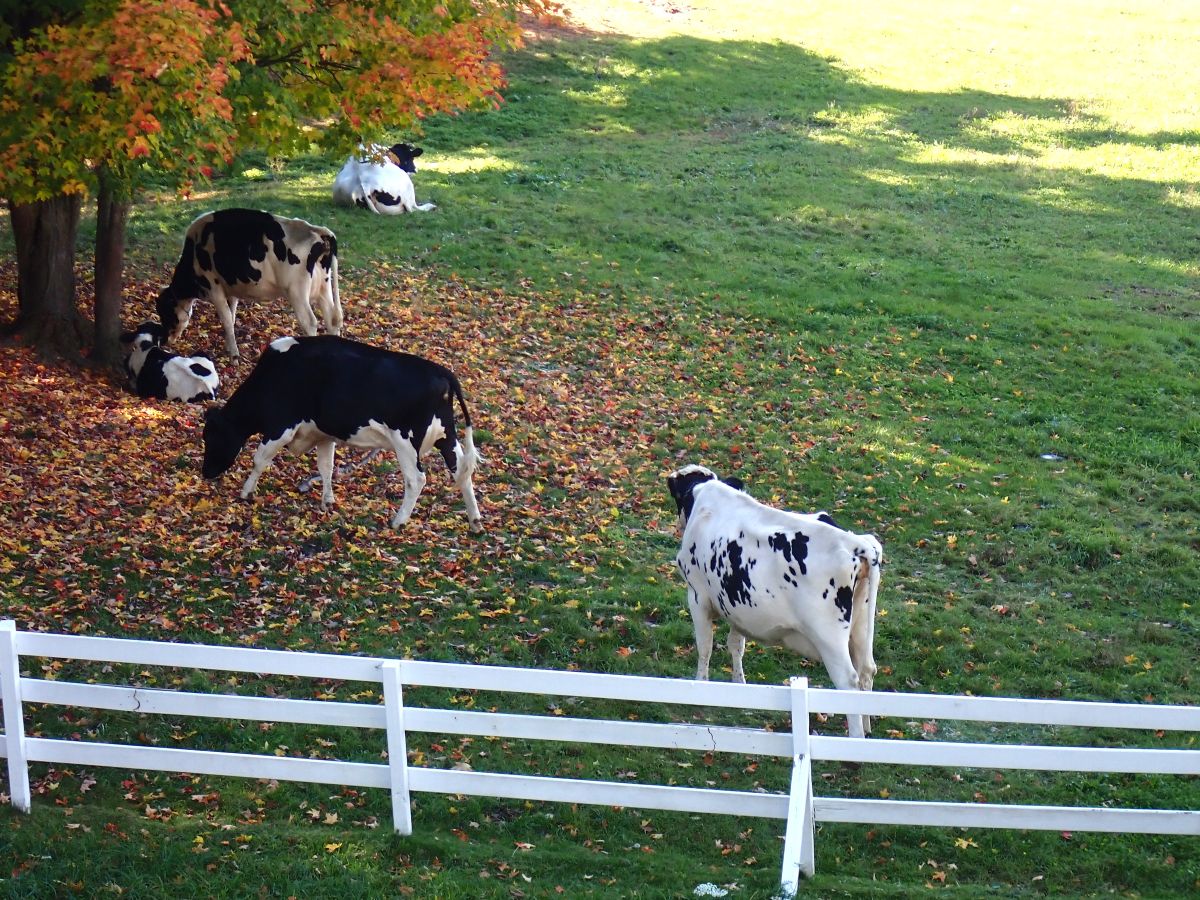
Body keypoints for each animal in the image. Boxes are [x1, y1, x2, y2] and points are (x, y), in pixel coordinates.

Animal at [155, 208, 343, 360]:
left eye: (165, 312)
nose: (165, 340)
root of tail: (317, 230)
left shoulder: (214, 289)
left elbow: (226, 319)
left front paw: (234, 355)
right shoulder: (230, 290)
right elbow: (231, 317)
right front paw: (229, 346)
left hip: (297, 292)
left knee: (310, 322)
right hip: (323, 289)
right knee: (331, 320)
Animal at [202, 335, 482, 532]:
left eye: (211, 437)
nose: (205, 473)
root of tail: (441, 371)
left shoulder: (282, 426)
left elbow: (259, 459)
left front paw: (246, 492)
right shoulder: (323, 433)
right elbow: (326, 466)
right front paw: (327, 501)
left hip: (405, 441)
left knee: (416, 479)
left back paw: (398, 521)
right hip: (446, 436)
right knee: (462, 472)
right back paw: (475, 522)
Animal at [666, 465, 883, 738]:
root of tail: (856, 544)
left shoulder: (697, 596)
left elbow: (704, 646)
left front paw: (700, 690)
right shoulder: (737, 604)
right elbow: (736, 645)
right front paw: (739, 687)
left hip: (829, 638)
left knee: (849, 681)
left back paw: (855, 736)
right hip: (861, 625)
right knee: (867, 669)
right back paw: (867, 728)